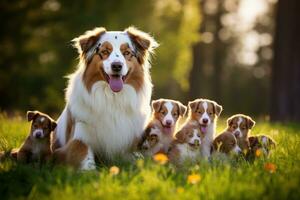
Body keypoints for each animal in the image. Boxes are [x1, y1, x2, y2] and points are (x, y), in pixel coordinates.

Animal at [52, 26, 158, 170]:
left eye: (126, 53)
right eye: (105, 51)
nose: (117, 66)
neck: (112, 98)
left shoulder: (130, 144)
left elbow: (139, 159)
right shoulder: (79, 137)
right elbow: (84, 157)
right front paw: (90, 172)